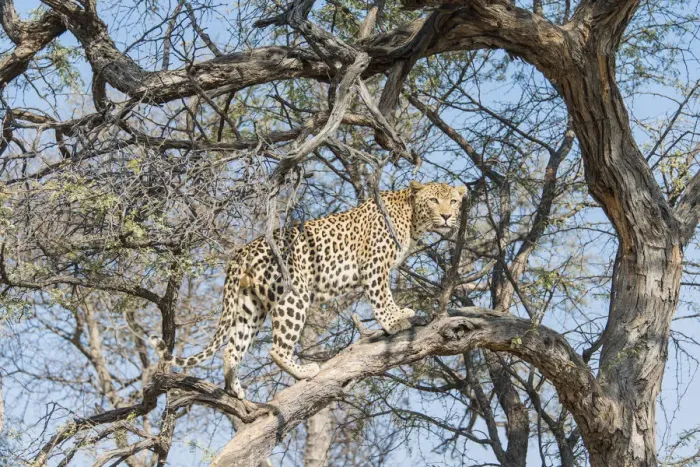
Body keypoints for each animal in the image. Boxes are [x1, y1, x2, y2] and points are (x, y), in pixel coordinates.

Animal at [149, 181, 467, 399]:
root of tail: (244, 250)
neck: (412, 220)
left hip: (250, 305)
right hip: (293, 294)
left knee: (232, 347)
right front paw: (395, 321)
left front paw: (400, 313)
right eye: (434, 200)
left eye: (453, 200)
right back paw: (304, 371)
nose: (447, 216)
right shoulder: (374, 264)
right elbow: (380, 296)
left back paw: (235, 388)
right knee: (276, 348)